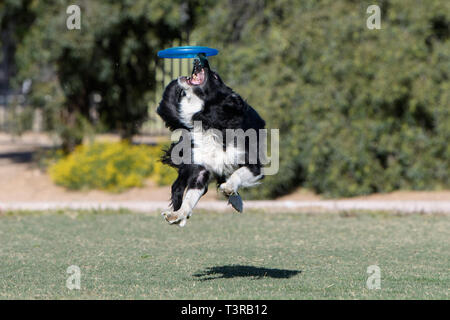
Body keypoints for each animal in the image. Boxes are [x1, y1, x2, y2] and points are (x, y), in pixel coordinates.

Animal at [156, 58, 266, 228]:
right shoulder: (200, 168)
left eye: (215, 76)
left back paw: (236, 200)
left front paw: (229, 188)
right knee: (177, 186)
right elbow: (190, 197)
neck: (209, 120)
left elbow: (239, 173)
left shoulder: (253, 163)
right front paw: (178, 214)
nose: (200, 59)